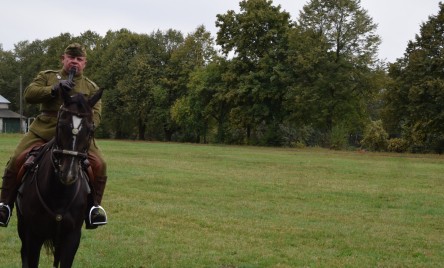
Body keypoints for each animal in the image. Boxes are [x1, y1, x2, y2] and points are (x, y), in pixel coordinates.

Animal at [16, 87, 103, 266]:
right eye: (62, 124)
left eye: (90, 129)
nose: (69, 173)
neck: (60, 194)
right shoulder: (33, 236)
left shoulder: (72, 238)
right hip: (22, 227)